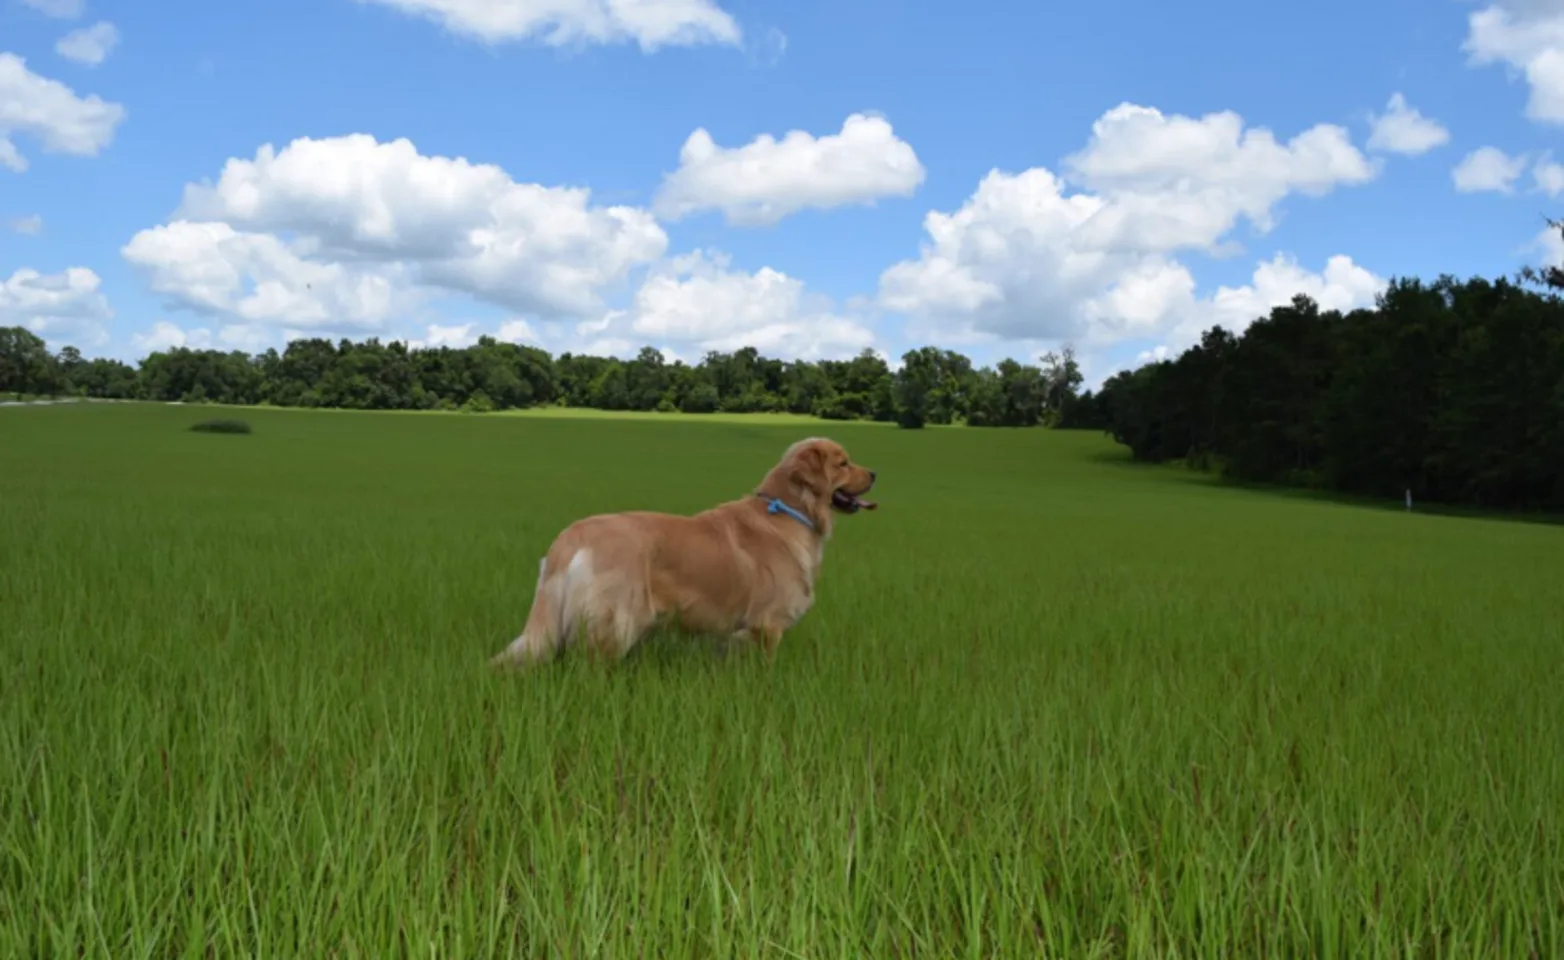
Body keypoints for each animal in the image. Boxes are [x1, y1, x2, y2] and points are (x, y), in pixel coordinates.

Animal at [491, 437, 882, 669]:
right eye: (843, 464)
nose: (875, 473)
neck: (788, 510)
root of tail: (572, 535)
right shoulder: (767, 624)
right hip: (616, 622)